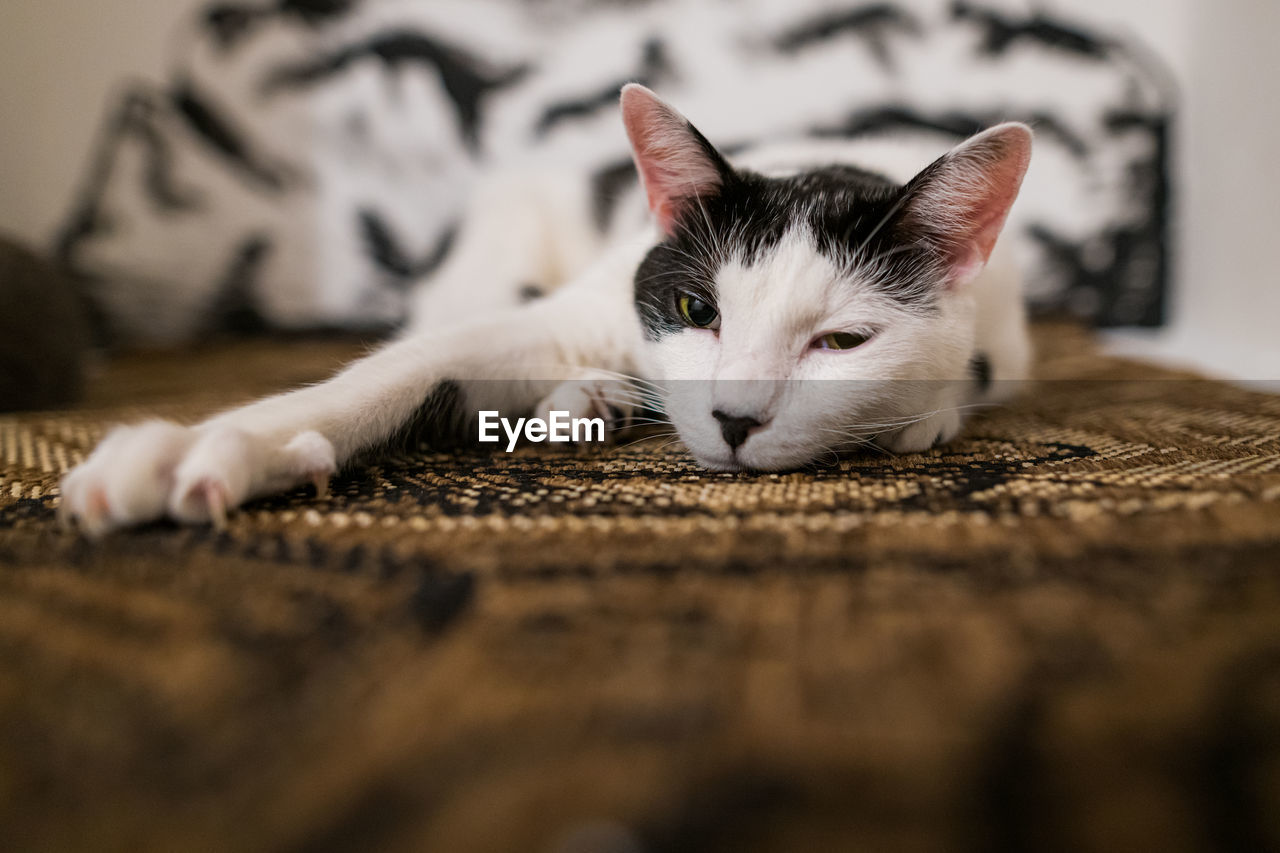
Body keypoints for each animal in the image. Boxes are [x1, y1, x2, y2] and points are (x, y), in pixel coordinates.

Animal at [62, 87, 1029, 537]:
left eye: (842, 340)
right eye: (696, 307)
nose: (733, 419)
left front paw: (920, 420)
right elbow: (387, 374)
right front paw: (208, 445)